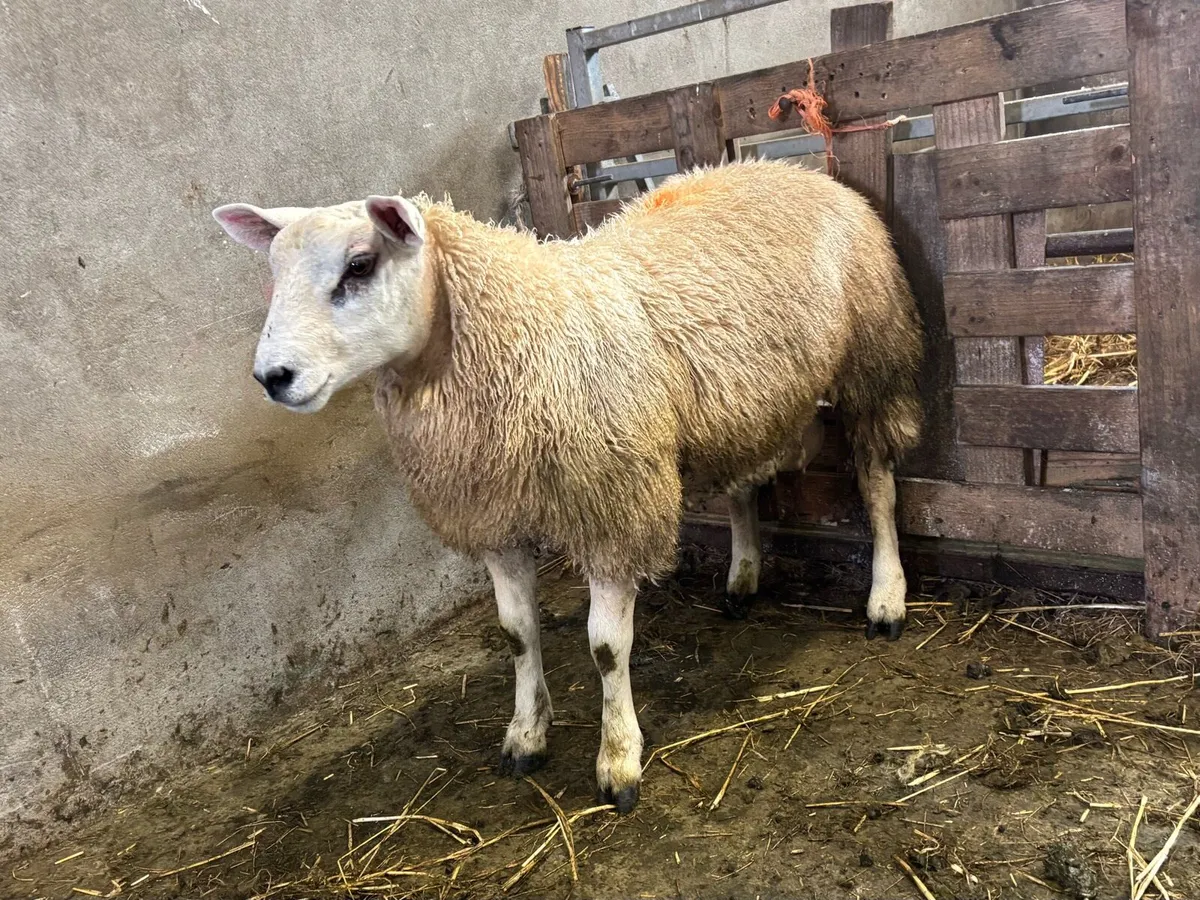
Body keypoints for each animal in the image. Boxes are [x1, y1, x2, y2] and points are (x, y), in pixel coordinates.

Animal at [211, 158, 923, 814]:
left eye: (359, 265)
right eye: (274, 272)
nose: (272, 377)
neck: (520, 335)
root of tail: (791, 165)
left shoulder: (613, 506)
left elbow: (606, 648)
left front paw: (619, 760)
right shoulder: (495, 516)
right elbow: (516, 633)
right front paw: (526, 734)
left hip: (874, 358)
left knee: (877, 484)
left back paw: (886, 597)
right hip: (742, 405)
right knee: (744, 485)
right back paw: (743, 576)